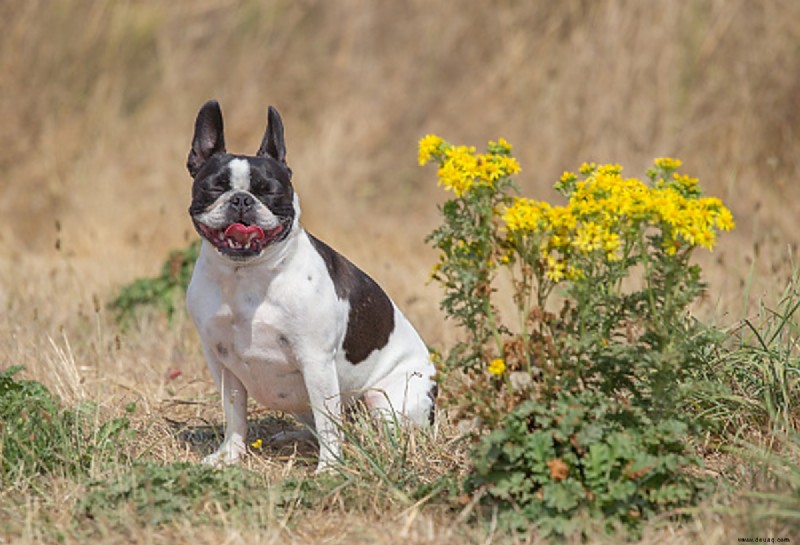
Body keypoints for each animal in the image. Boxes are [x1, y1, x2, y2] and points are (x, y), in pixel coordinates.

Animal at [184, 99, 438, 472]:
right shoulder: (223, 363)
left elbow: (328, 420)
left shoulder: (316, 361)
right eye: (215, 187)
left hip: (387, 402)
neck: (246, 275)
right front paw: (229, 455)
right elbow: (234, 413)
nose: (242, 199)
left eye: (270, 191)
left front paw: (329, 469)